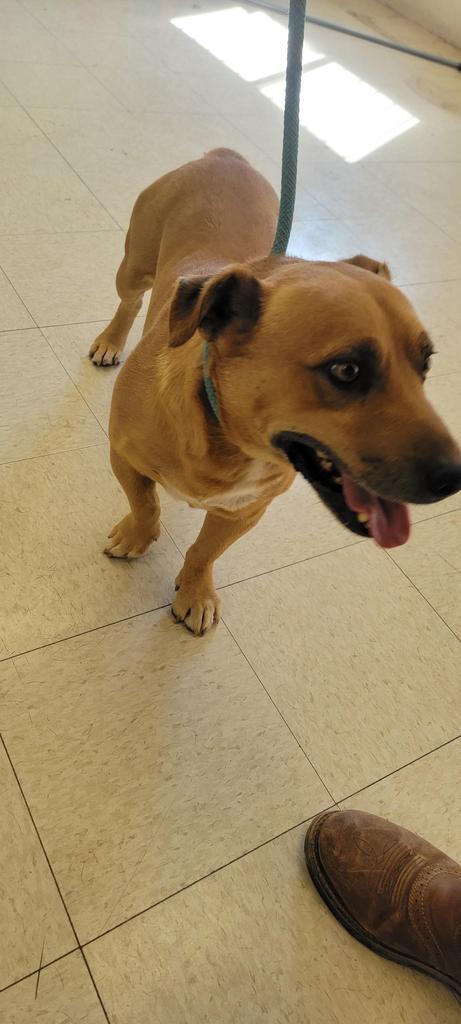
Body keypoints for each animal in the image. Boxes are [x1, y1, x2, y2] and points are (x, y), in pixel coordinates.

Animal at [89, 149, 461, 634]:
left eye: (426, 364)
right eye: (346, 370)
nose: (455, 477)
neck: (224, 436)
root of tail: (224, 156)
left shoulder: (245, 511)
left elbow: (205, 551)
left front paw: (195, 590)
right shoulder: (124, 457)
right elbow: (147, 505)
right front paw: (136, 536)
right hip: (134, 265)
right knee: (130, 302)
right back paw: (111, 340)